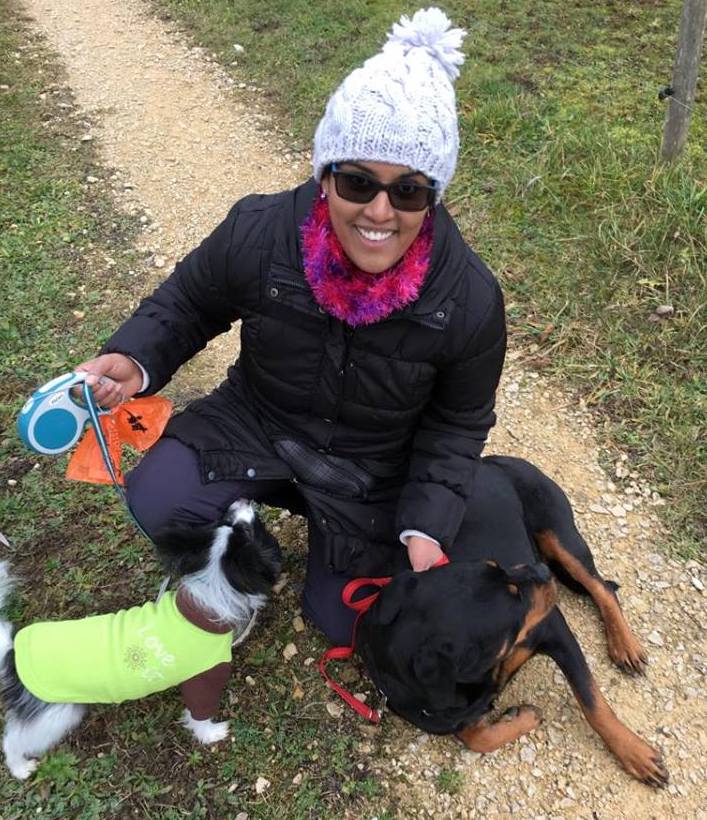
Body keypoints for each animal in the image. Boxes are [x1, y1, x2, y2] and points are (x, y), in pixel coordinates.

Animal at [0, 499, 280, 779]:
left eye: (227, 521)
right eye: (247, 529)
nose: (241, 501)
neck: (208, 598)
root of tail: (12, 653)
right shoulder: (203, 679)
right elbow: (199, 714)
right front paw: (211, 734)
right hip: (54, 715)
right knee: (12, 740)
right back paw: (20, 768)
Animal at [356, 456, 669, 787]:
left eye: (496, 565)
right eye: (514, 598)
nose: (541, 570)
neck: (488, 668)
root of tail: (488, 460)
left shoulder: (554, 629)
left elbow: (593, 702)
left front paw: (634, 753)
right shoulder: (452, 715)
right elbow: (478, 738)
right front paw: (523, 716)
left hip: (559, 534)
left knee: (602, 588)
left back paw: (625, 646)